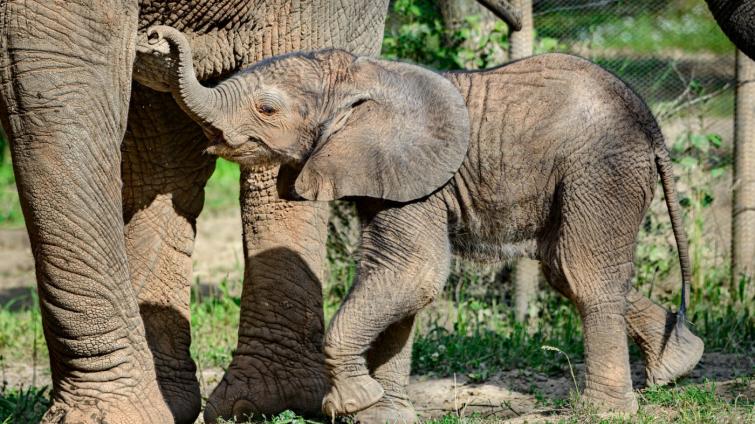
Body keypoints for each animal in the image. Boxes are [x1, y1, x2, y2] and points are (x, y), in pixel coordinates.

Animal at [146, 26, 704, 420]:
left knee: (581, 272)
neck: (364, 76)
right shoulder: (384, 173)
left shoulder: (417, 176)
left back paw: (603, 411)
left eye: (267, 108)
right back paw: (679, 363)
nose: (155, 35)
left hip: (601, 167)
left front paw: (353, 402)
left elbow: (411, 271)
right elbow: (398, 278)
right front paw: (384, 414)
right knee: (562, 267)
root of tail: (651, 123)